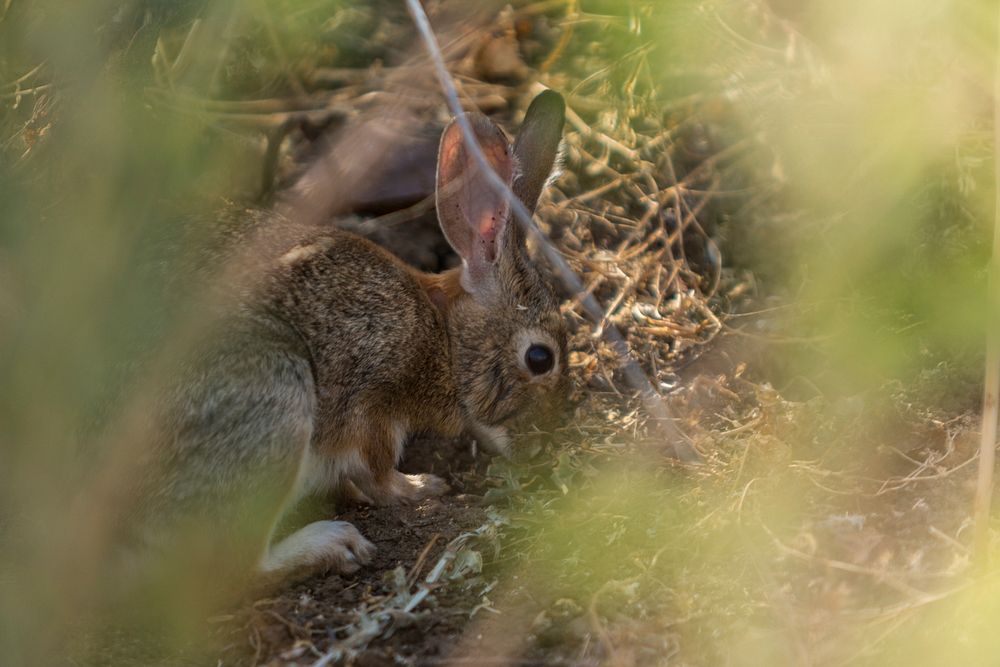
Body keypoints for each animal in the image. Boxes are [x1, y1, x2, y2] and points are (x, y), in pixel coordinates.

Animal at [115, 90, 572, 584]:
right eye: (540, 358)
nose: (543, 446)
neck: (444, 335)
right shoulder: (375, 397)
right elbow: (377, 468)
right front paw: (418, 487)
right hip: (278, 402)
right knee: (231, 565)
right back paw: (332, 543)